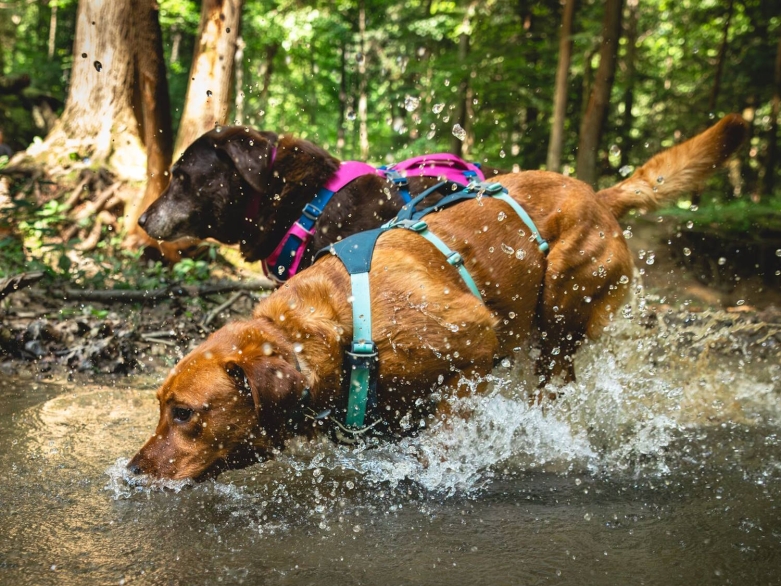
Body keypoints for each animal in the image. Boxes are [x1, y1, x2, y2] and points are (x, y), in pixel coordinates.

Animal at [131, 115, 748, 480]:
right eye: (159, 407)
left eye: (185, 414)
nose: (132, 470)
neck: (331, 328)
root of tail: (598, 194)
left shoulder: (473, 344)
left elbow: (446, 432)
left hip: (560, 314)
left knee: (554, 383)